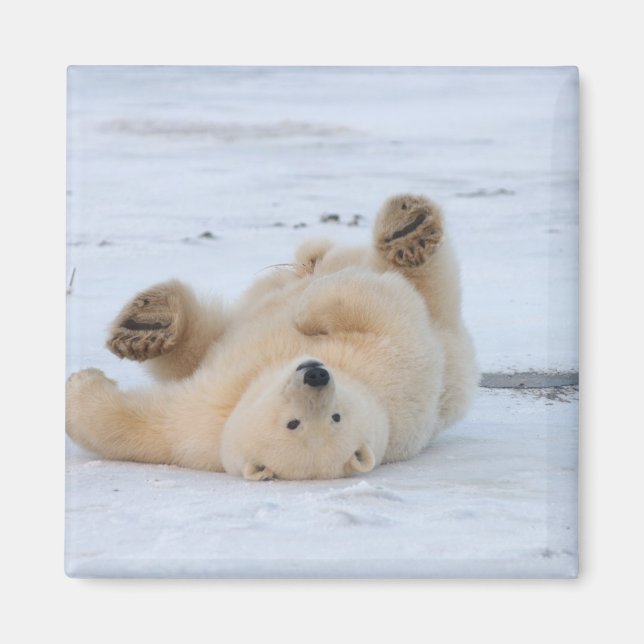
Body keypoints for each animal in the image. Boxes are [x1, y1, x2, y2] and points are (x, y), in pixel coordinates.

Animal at [66, 194, 479, 480]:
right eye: (294, 423)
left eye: (335, 418)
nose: (315, 374)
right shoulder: (204, 421)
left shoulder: (395, 367)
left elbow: (380, 308)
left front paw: (80, 384)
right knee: (210, 335)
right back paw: (147, 325)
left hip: (446, 330)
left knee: (425, 282)